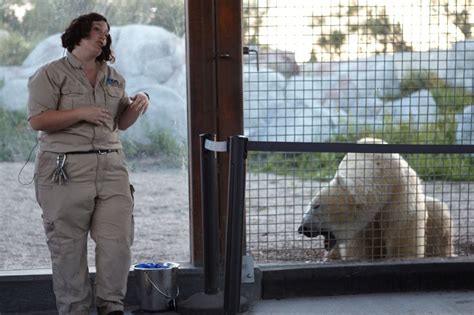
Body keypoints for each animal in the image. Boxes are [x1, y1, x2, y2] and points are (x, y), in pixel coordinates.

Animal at [298, 139, 454, 262]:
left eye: (316, 206)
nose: (302, 228)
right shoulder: (362, 225)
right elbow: (358, 249)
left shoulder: (400, 199)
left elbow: (402, 240)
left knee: (439, 214)